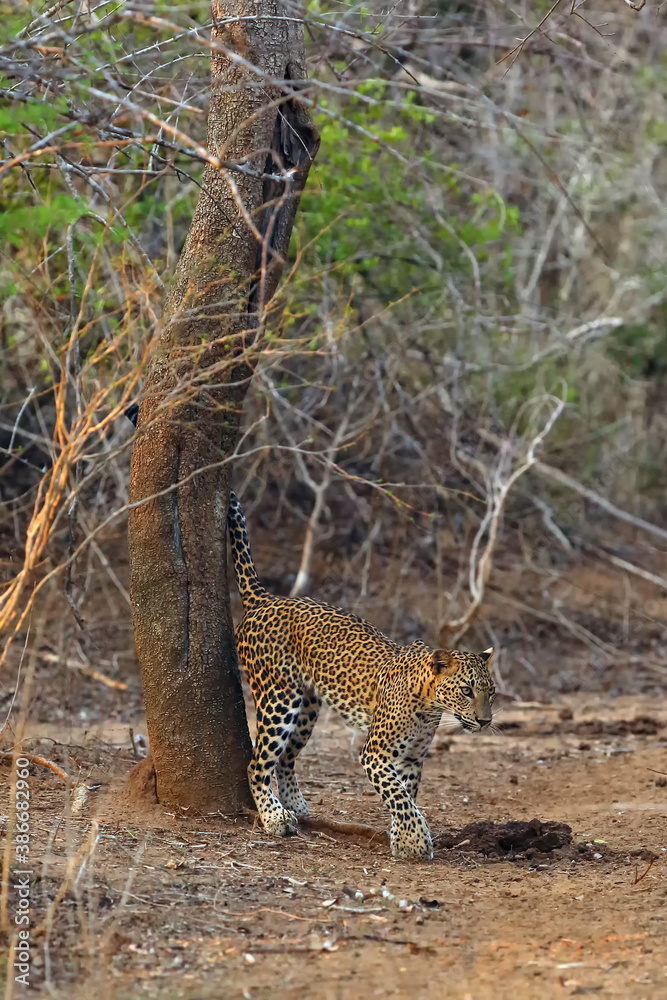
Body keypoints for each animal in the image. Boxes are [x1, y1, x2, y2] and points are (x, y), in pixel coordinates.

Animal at [230, 492, 496, 860]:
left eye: (491, 692)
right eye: (467, 691)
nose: (486, 721)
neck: (430, 708)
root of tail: (266, 599)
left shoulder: (411, 758)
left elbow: (406, 795)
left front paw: (401, 837)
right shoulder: (376, 754)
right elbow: (398, 796)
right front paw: (415, 841)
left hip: (308, 709)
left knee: (285, 758)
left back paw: (296, 806)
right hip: (279, 699)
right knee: (258, 763)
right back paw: (275, 818)